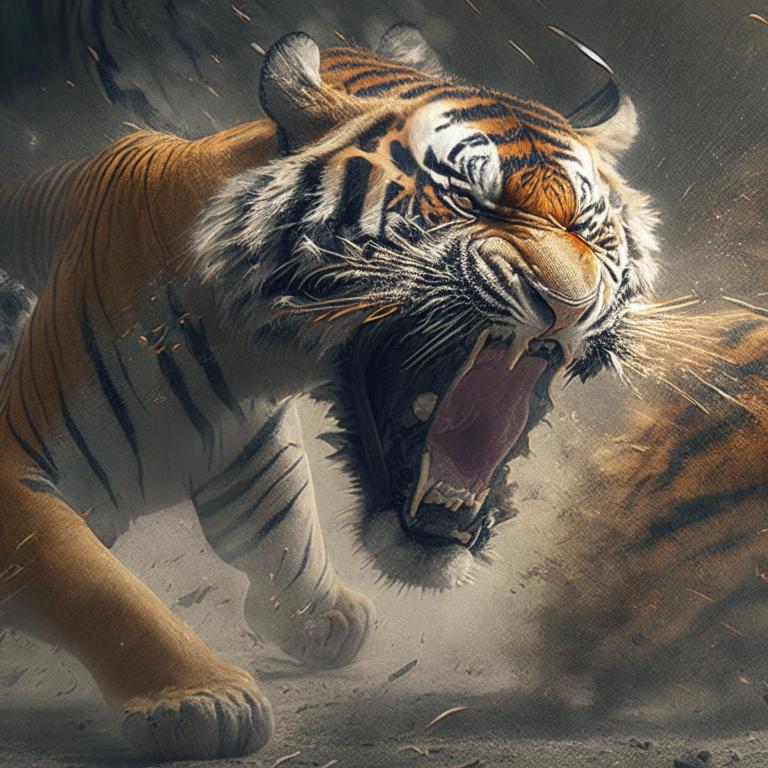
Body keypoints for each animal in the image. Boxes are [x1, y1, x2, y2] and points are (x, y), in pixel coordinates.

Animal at [0, 24, 659, 760]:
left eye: (587, 228)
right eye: (468, 202)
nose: (570, 305)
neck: (250, 356)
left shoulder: (250, 439)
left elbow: (281, 516)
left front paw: (318, 613)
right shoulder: (14, 463)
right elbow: (96, 580)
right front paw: (201, 696)